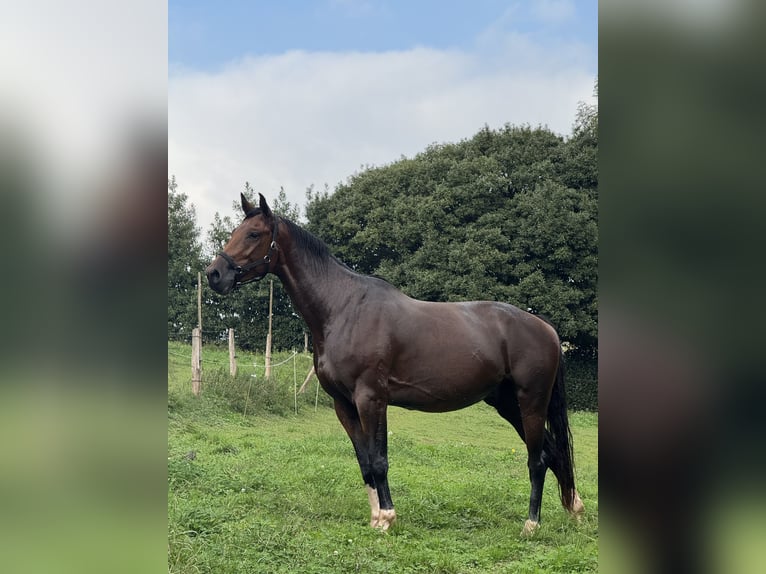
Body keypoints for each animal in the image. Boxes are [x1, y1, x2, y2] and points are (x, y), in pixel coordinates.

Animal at [205, 193, 584, 535]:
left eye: (254, 234)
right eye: (238, 230)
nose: (214, 274)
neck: (343, 308)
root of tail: (546, 328)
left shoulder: (371, 399)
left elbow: (379, 459)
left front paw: (387, 518)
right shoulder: (344, 405)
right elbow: (364, 462)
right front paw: (375, 518)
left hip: (530, 402)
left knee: (538, 459)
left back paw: (531, 525)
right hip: (508, 404)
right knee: (553, 453)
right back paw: (574, 509)